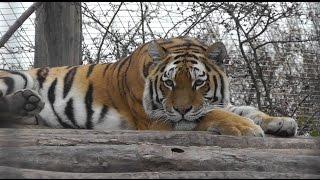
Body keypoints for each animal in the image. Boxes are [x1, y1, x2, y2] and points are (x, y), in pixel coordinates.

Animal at [0, 37, 298, 137]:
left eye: (198, 82)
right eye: (168, 82)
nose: (181, 108)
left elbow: (245, 108)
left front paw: (281, 122)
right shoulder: (158, 117)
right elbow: (211, 114)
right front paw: (246, 128)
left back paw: (27, 104)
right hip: (15, 76)